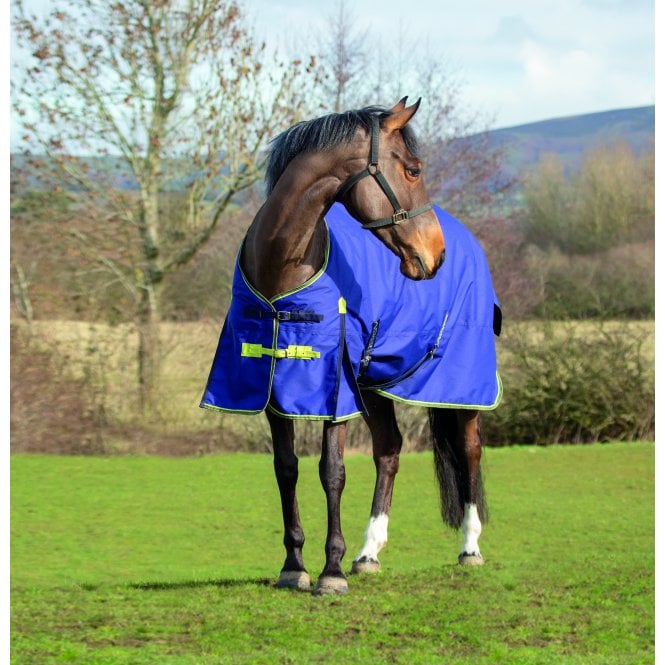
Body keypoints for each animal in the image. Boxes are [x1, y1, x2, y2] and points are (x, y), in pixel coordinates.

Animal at [201, 98, 501, 595]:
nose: (434, 253)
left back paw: (470, 547)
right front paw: (294, 566)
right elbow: (287, 468)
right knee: (390, 451)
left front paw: (331, 572)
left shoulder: (333, 391)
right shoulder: (272, 390)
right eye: (414, 170)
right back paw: (368, 553)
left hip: (459, 384)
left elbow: (332, 472)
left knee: (470, 449)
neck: (282, 270)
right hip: (375, 382)